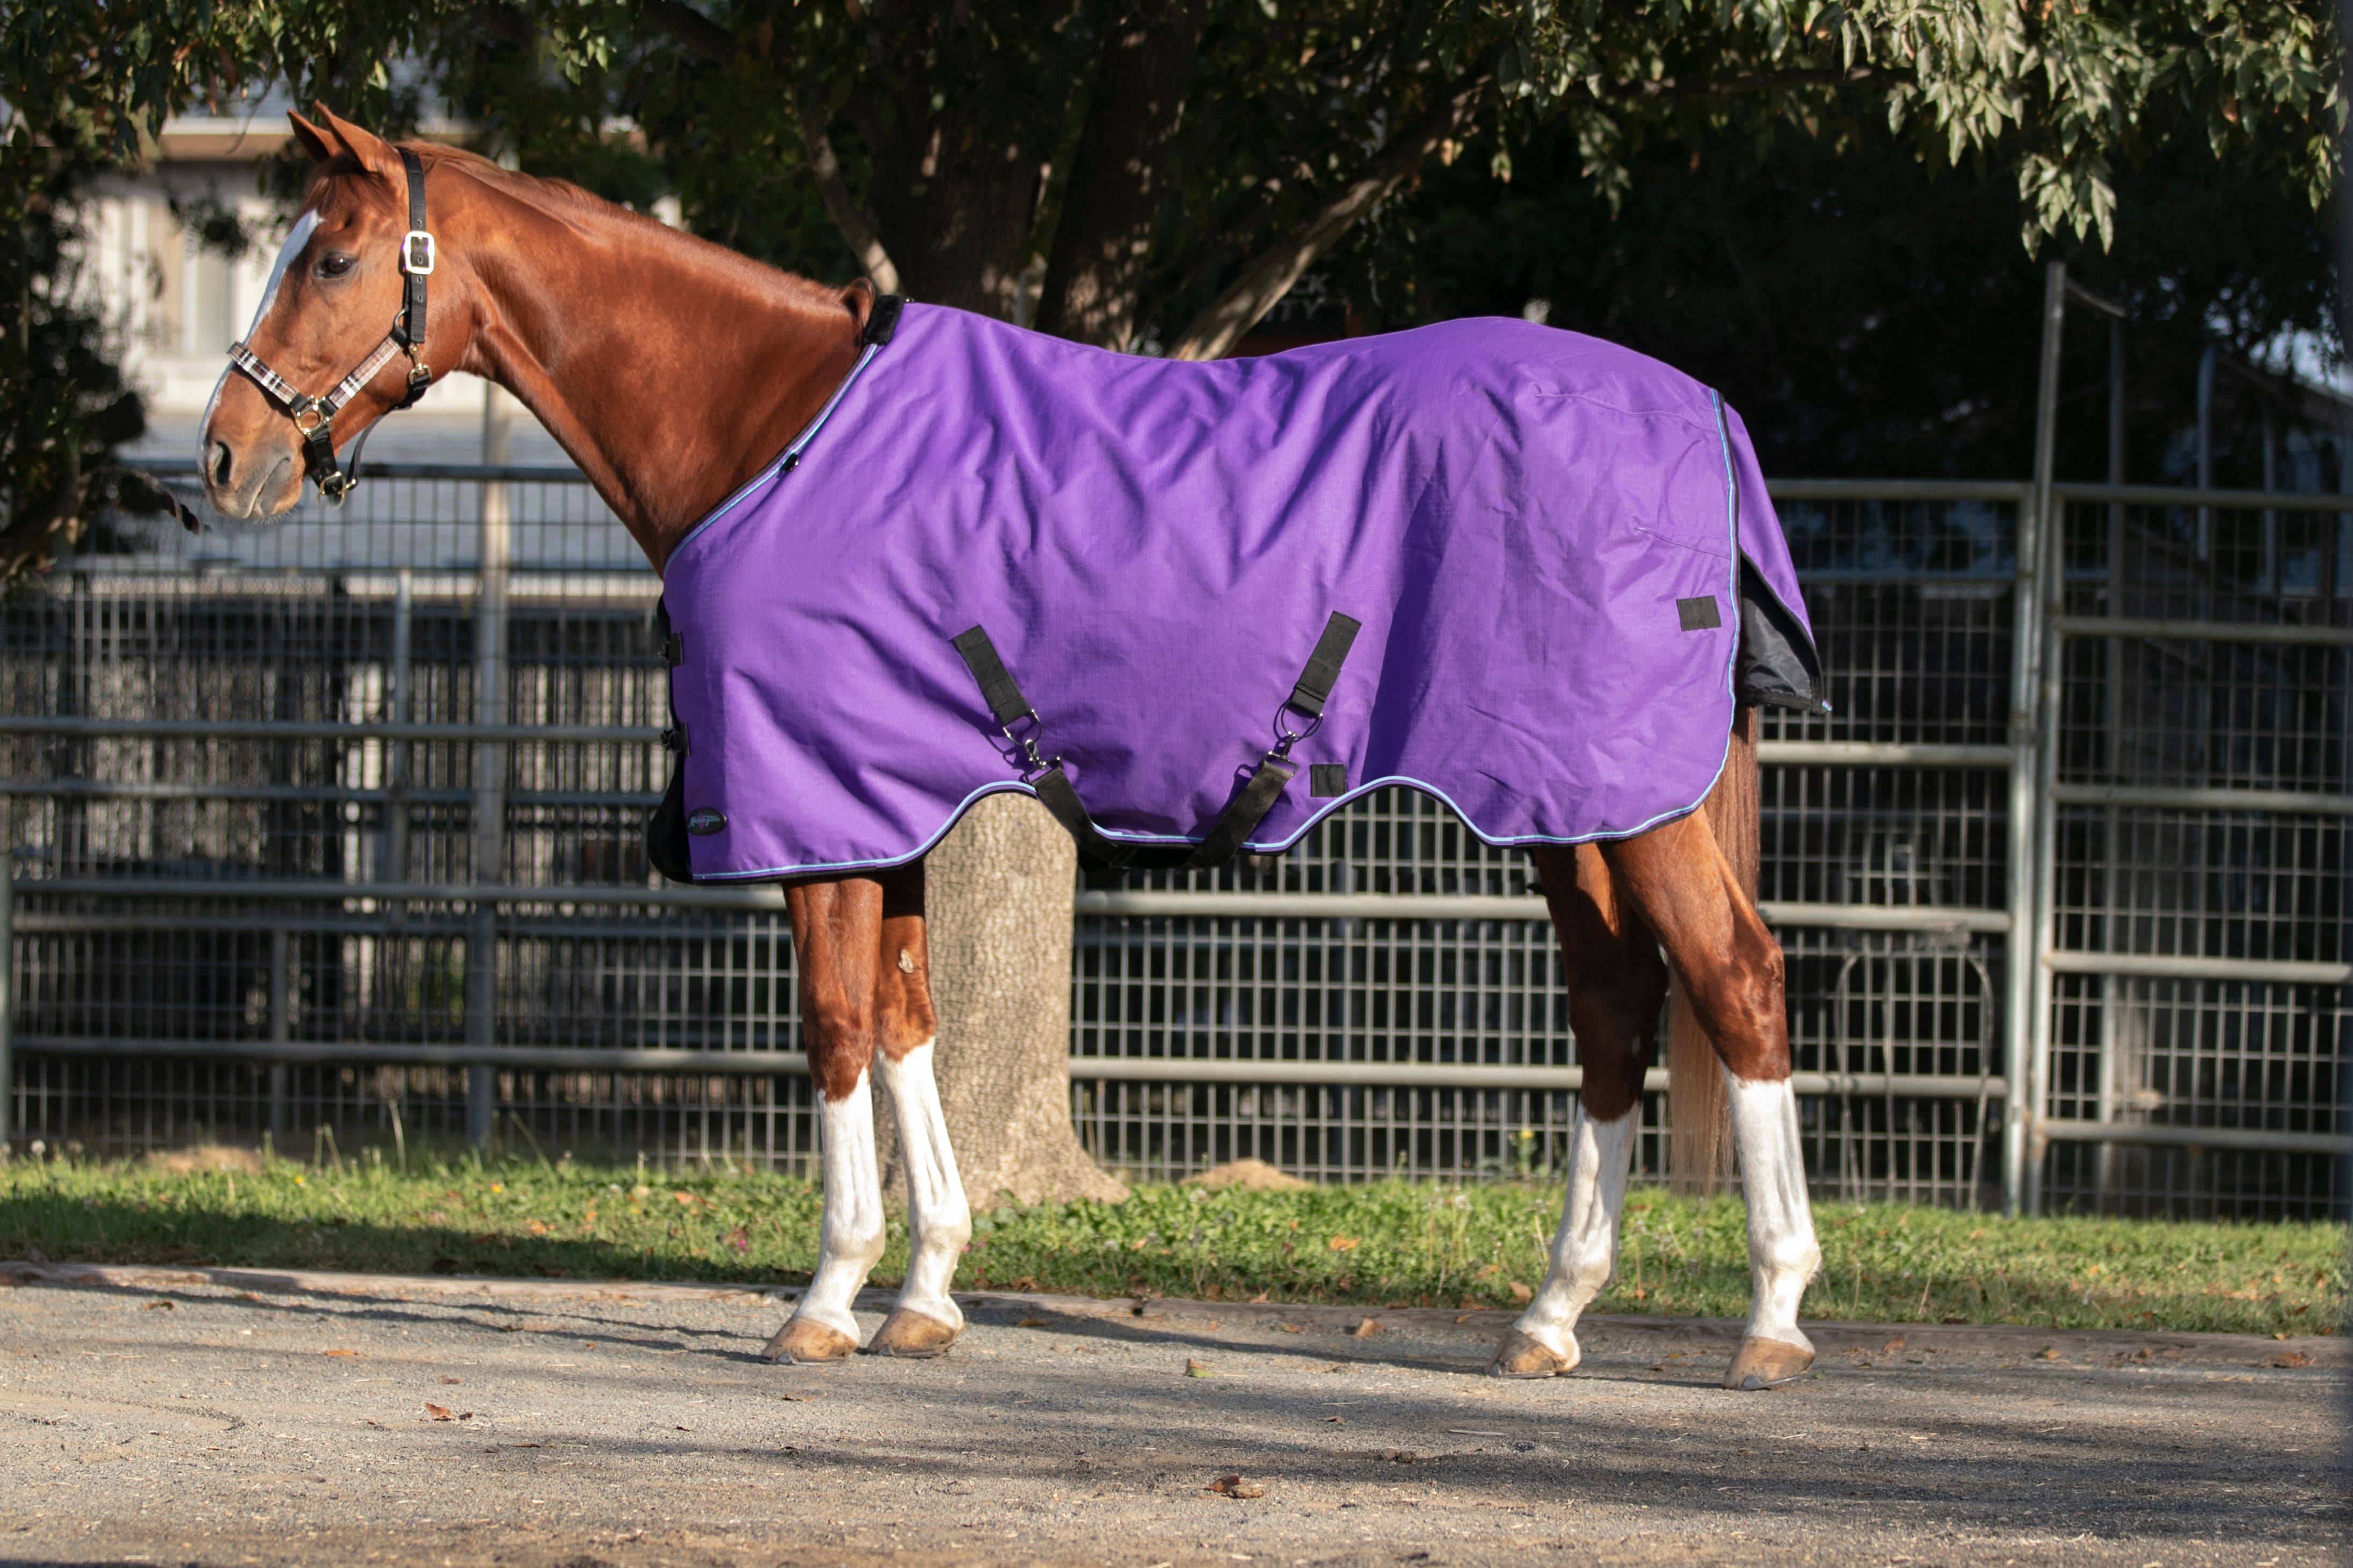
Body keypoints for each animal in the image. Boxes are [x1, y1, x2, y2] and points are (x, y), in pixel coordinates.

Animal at [200, 107, 1824, 1391]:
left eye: (332, 259)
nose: (226, 454)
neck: (772, 428)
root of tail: (1702, 411)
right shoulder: (885, 807)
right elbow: (907, 1021)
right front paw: (924, 1290)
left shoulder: (816, 808)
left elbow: (835, 1028)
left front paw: (825, 1297)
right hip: (1569, 800)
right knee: (1614, 1007)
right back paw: (1549, 1315)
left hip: (1623, 802)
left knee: (1734, 978)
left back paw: (1770, 1315)